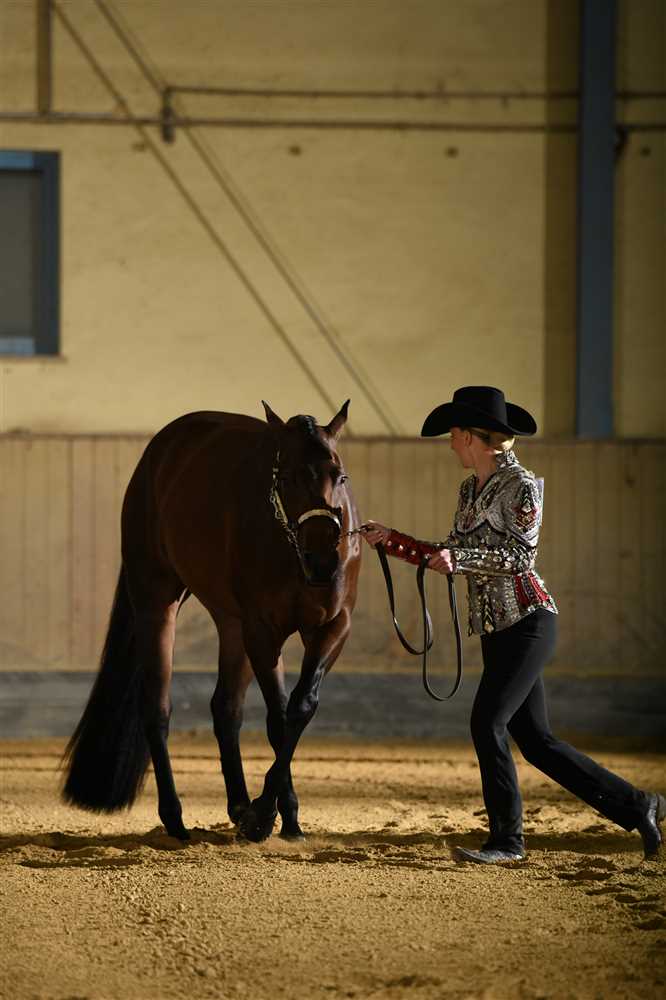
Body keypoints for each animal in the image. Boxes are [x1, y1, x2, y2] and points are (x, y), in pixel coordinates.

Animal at [62, 401, 361, 843]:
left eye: (339, 476)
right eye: (287, 477)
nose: (323, 561)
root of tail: (160, 450)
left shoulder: (332, 627)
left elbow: (299, 708)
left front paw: (283, 818)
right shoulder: (262, 631)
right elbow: (278, 719)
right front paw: (265, 817)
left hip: (231, 623)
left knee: (226, 707)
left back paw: (238, 805)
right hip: (157, 601)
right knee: (157, 708)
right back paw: (175, 818)